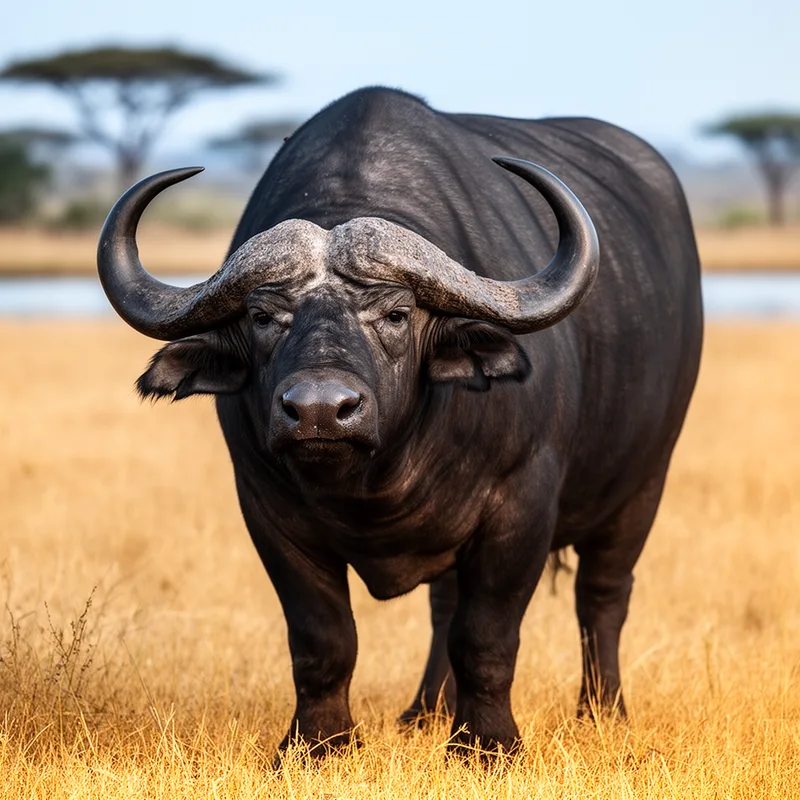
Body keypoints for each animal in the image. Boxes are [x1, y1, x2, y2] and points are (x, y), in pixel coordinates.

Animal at [97, 87, 703, 756]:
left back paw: (601, 711)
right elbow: (324, 639)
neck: (377, 479)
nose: (319, 411)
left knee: (602, 597)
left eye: (395, 313)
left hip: (644, 484)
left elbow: (486, 637)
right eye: (262, 316)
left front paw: (488, 746)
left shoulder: (521, 509)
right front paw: (318, 744)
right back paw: (425, 711)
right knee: (445, 605)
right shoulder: (268, 513)